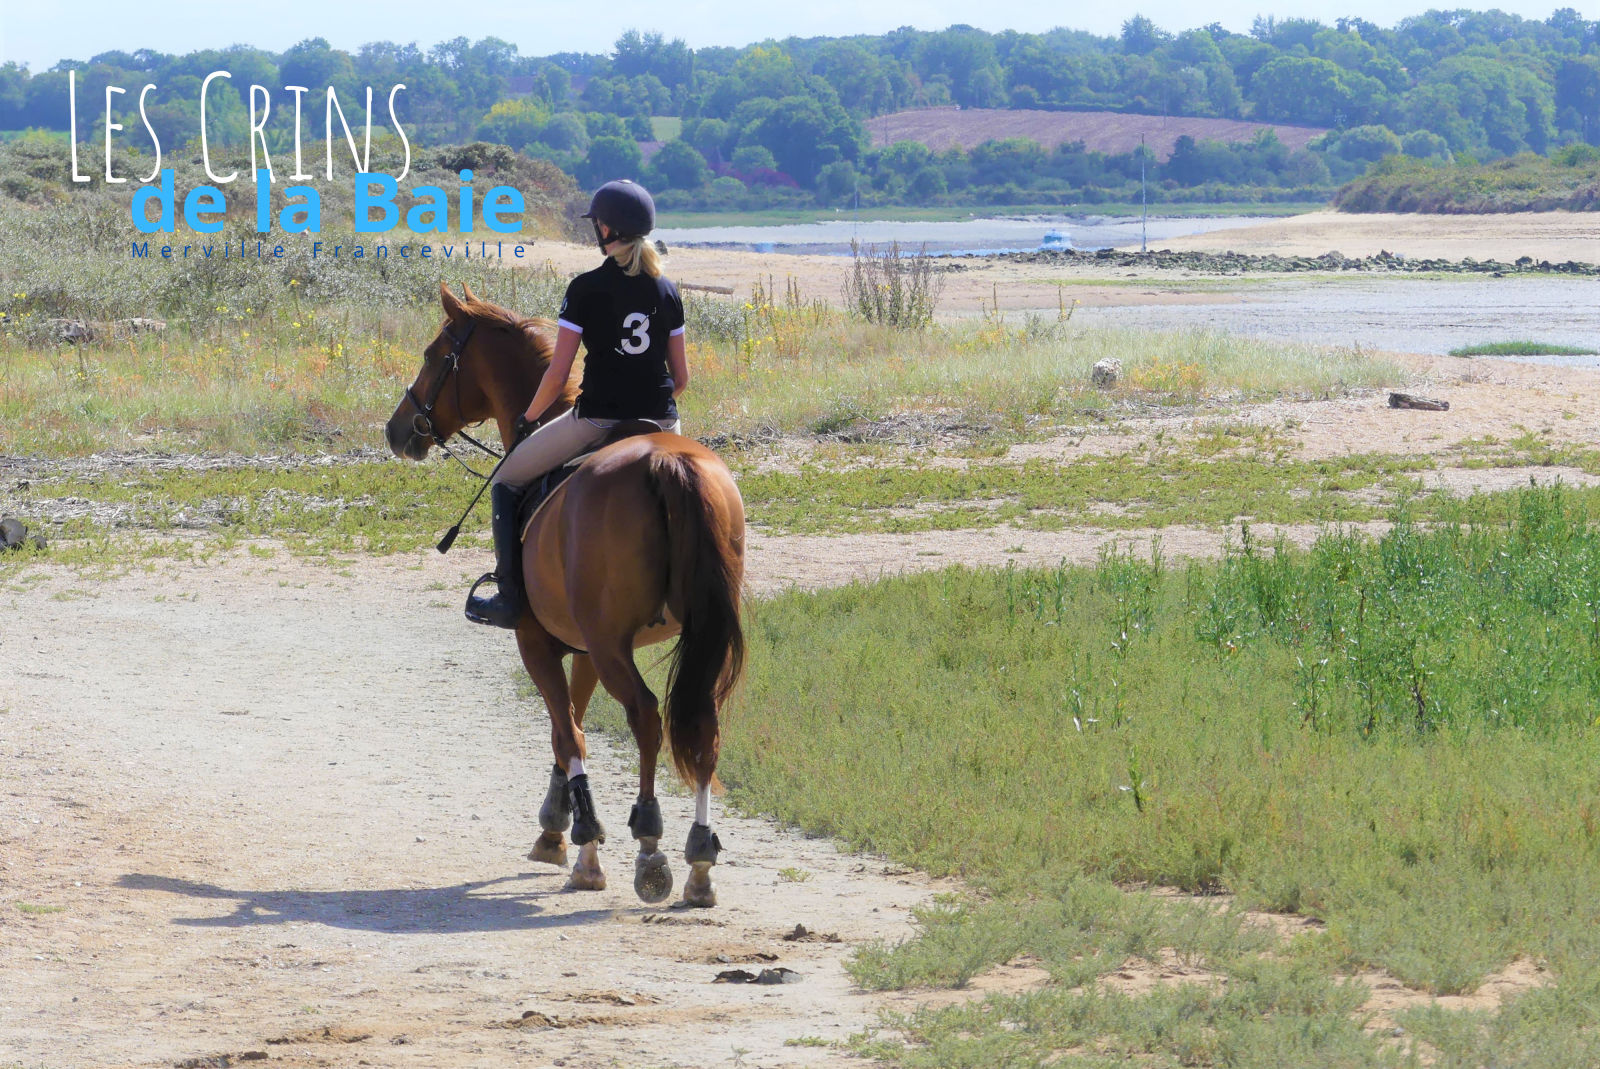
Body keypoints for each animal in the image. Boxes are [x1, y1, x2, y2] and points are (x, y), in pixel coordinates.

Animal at [387, 280, 742, 908]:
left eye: (434, 356)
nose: (397, 429)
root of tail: (667, 461)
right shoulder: (584, 649)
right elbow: (567, 727)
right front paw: (558, 828)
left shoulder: (538, 641)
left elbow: (567, 731)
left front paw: (583, 844)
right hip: (687, 636)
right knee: (704, 726)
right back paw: (699, 861)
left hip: (608, 644)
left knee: (645, 717)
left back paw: (650, 843)